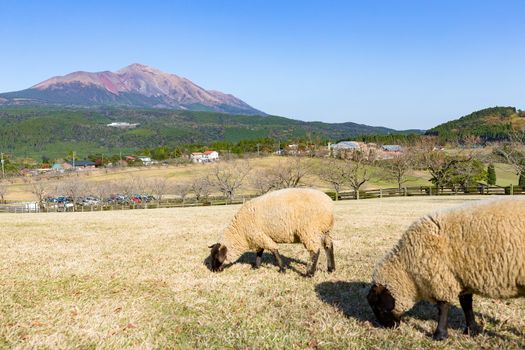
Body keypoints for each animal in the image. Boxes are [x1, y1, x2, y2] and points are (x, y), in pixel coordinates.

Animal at [206, 189, 334, 276]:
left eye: (216, 256)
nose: (213, 270)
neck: (240, 233)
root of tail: (329, 204)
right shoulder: (258, 237)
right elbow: (259, 252)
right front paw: (256, 267)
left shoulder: (259, 235)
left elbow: (274, 251)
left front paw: (282, 269)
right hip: (324, 230)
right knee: (329, 246)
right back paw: (331, 269)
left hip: (309, 230)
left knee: (315, 251)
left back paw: (309, 273)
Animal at [366, 198, 524, 340]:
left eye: (377, 306)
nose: (389, 327)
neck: (408, 268)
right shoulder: (460, 276)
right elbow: (466, 304)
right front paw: (471, 330)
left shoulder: (440, 276)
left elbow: (443, 307)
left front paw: (439, 335)